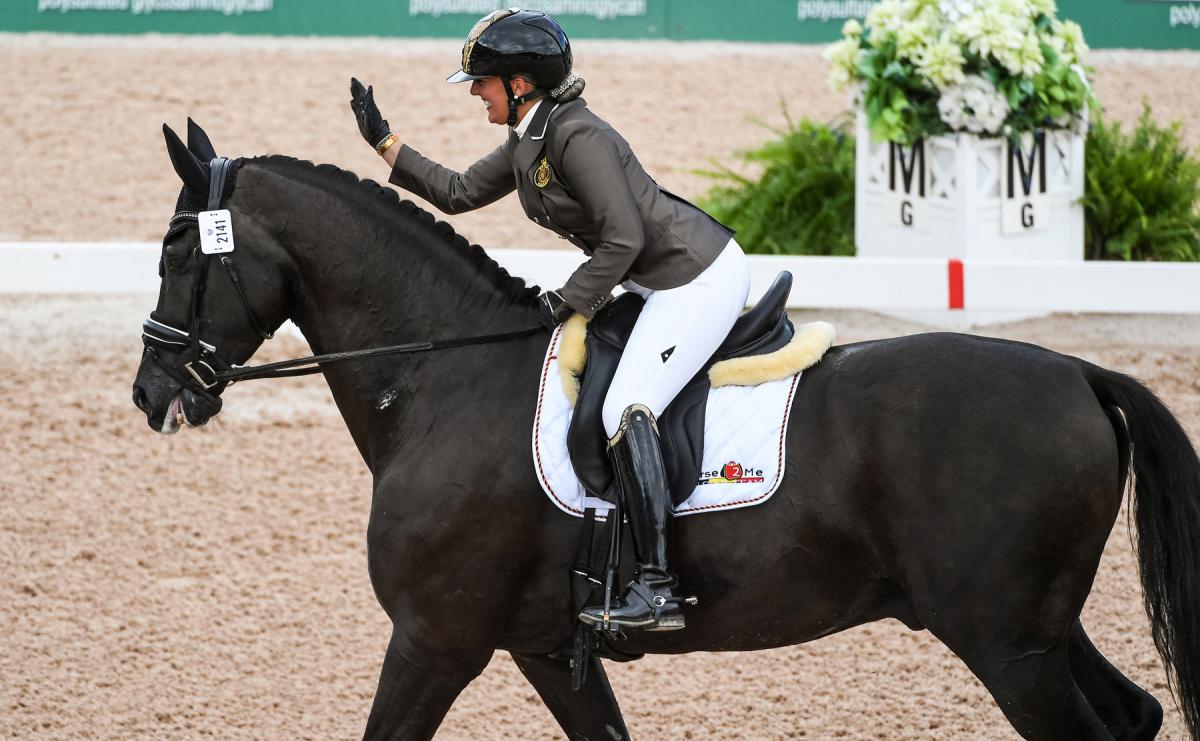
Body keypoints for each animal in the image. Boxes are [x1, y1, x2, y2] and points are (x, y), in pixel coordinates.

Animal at [131, 124, 1200, 733]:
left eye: (180, 246)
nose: (151, 392)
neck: (443, 375)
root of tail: (1080, 373)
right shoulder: (543, 648)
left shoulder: (434, 638)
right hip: (1035, 631)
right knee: (1135, 714)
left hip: (1005, 641)